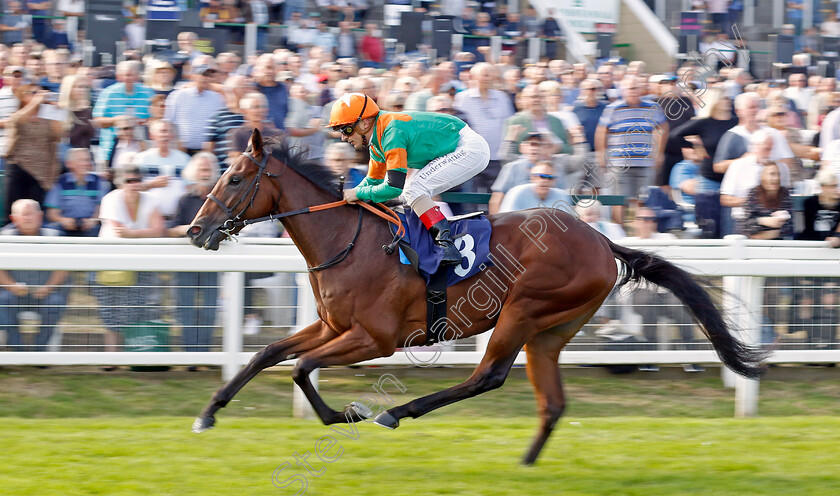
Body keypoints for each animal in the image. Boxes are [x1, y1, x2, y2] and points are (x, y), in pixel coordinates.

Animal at [187, 131, 764, 464]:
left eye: (235, 178)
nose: (195, 230)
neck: (346, 241)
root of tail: (602, 241)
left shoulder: (374, 339)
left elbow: (302, 368)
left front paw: (345, 414)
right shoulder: (332, 326)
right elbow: (268, 354)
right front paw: (208, 413)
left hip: (524, 309)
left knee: (487, 376)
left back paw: (397, 411)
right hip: (551, 329)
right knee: (551, 401)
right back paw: (526, 462)